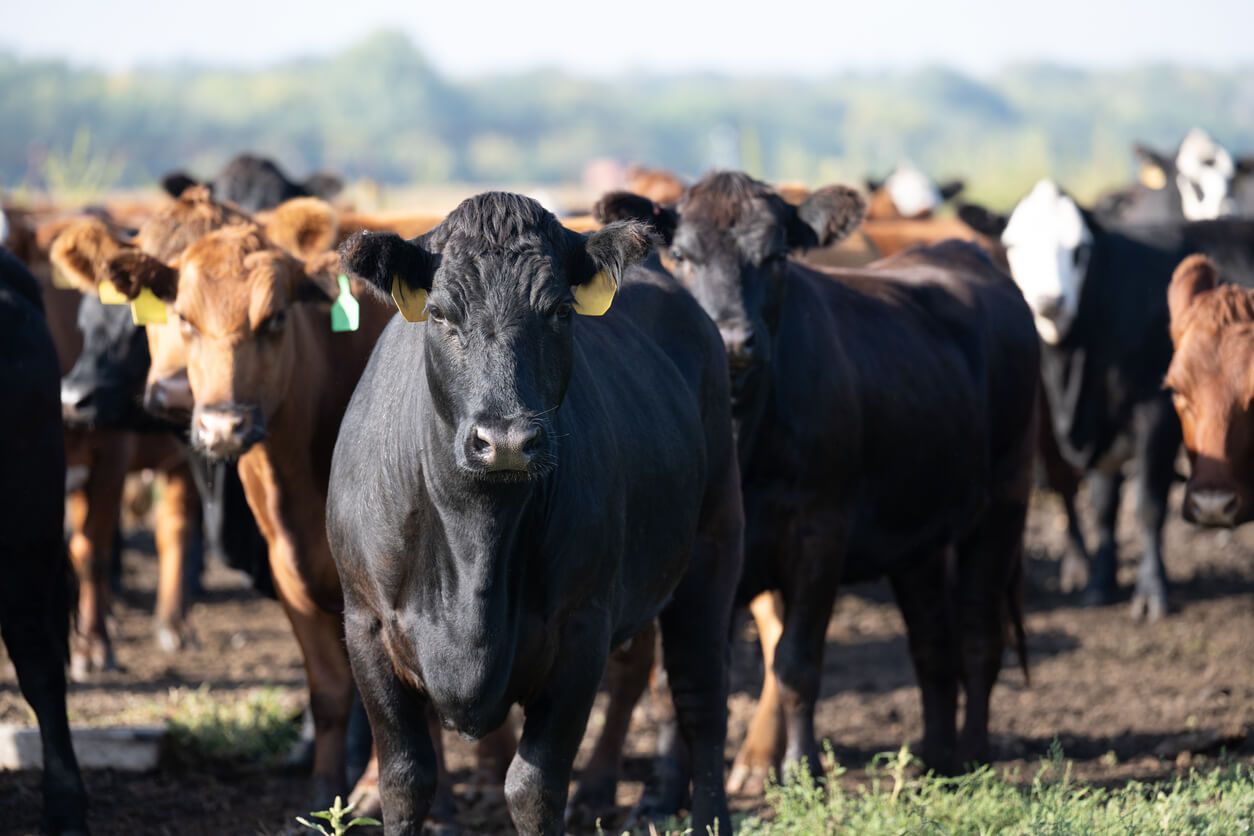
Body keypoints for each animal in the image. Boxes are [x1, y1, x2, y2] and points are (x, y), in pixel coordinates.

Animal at [329, 191, 744, 836]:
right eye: (441, 314)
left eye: (559, 312)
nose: (505, 441)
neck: (474, 540)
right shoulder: (365, 623)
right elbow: (404, 778)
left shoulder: (582, 628)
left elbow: (534, 787)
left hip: (713, 549)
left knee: (702, 702)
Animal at [595, 171, 1037, 805]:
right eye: (680, 256)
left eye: (777, 255)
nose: (732, 339)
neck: (746, 435)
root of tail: (961, 251)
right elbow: (672, 677)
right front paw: (662, 789)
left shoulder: (818, 535)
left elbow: (795, 663)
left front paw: (802, 772)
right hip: (919, 539)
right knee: (932, 645)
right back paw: (937, 763)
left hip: (1003, 502)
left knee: (979, 635)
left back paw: (974, 758)